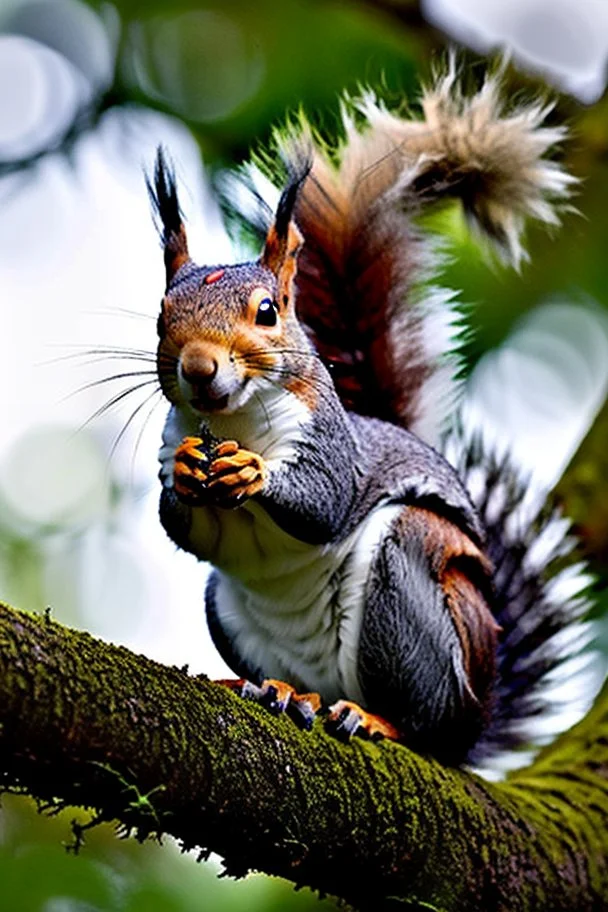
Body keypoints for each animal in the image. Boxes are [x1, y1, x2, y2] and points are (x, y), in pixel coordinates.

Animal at [150, 60, 596, 764]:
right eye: (161, 318)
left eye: (268, 311)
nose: (198, 368)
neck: (233, 420)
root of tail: (475, 723)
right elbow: (182, 527)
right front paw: (188, 473)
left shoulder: (331, 442)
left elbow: (324, 501)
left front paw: (253, 473)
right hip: (228, 612)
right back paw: (280, 691)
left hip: (409, 591)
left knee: (424, 716)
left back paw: (379, 719)